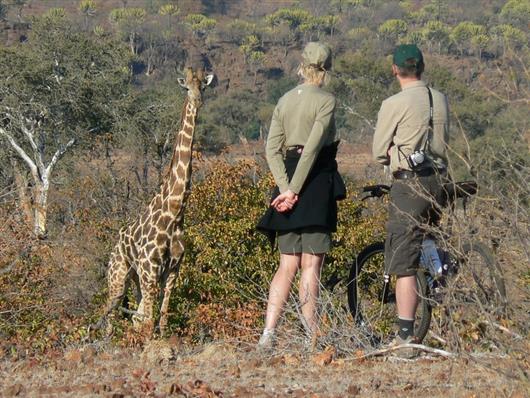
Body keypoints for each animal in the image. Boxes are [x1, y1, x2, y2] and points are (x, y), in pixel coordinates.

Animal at [97, 68, 212, 336]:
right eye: (186, 87)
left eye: (203, 86)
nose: (197, 101)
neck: (175, 213)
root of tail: (115, 245)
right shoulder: (150, 269)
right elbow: (148, 321)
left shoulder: (172, 270)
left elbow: (160, 317)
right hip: (118, 276)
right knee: (109, 313)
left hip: (137, 279)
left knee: (134, 316)